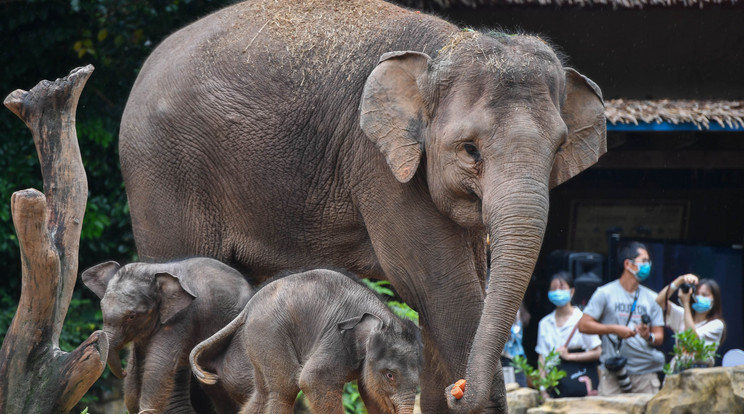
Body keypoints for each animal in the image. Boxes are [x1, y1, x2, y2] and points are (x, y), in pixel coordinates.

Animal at [83, 258, 254, 412]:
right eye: (101, 307)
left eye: (132, 316)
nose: (123, 372)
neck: (153, 271)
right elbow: (134, 376)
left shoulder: (181, 319)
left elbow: (157, 368)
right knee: (217, 390)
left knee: (234, 377)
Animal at [190, 268, 424, 414]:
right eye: (390, 375)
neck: (384, 317)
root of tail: (248, 307)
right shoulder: (335, 341)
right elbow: (312, 380)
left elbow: (370, 394)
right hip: (270, 333)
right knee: (285, 388)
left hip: (256, 341)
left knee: (263, 393)